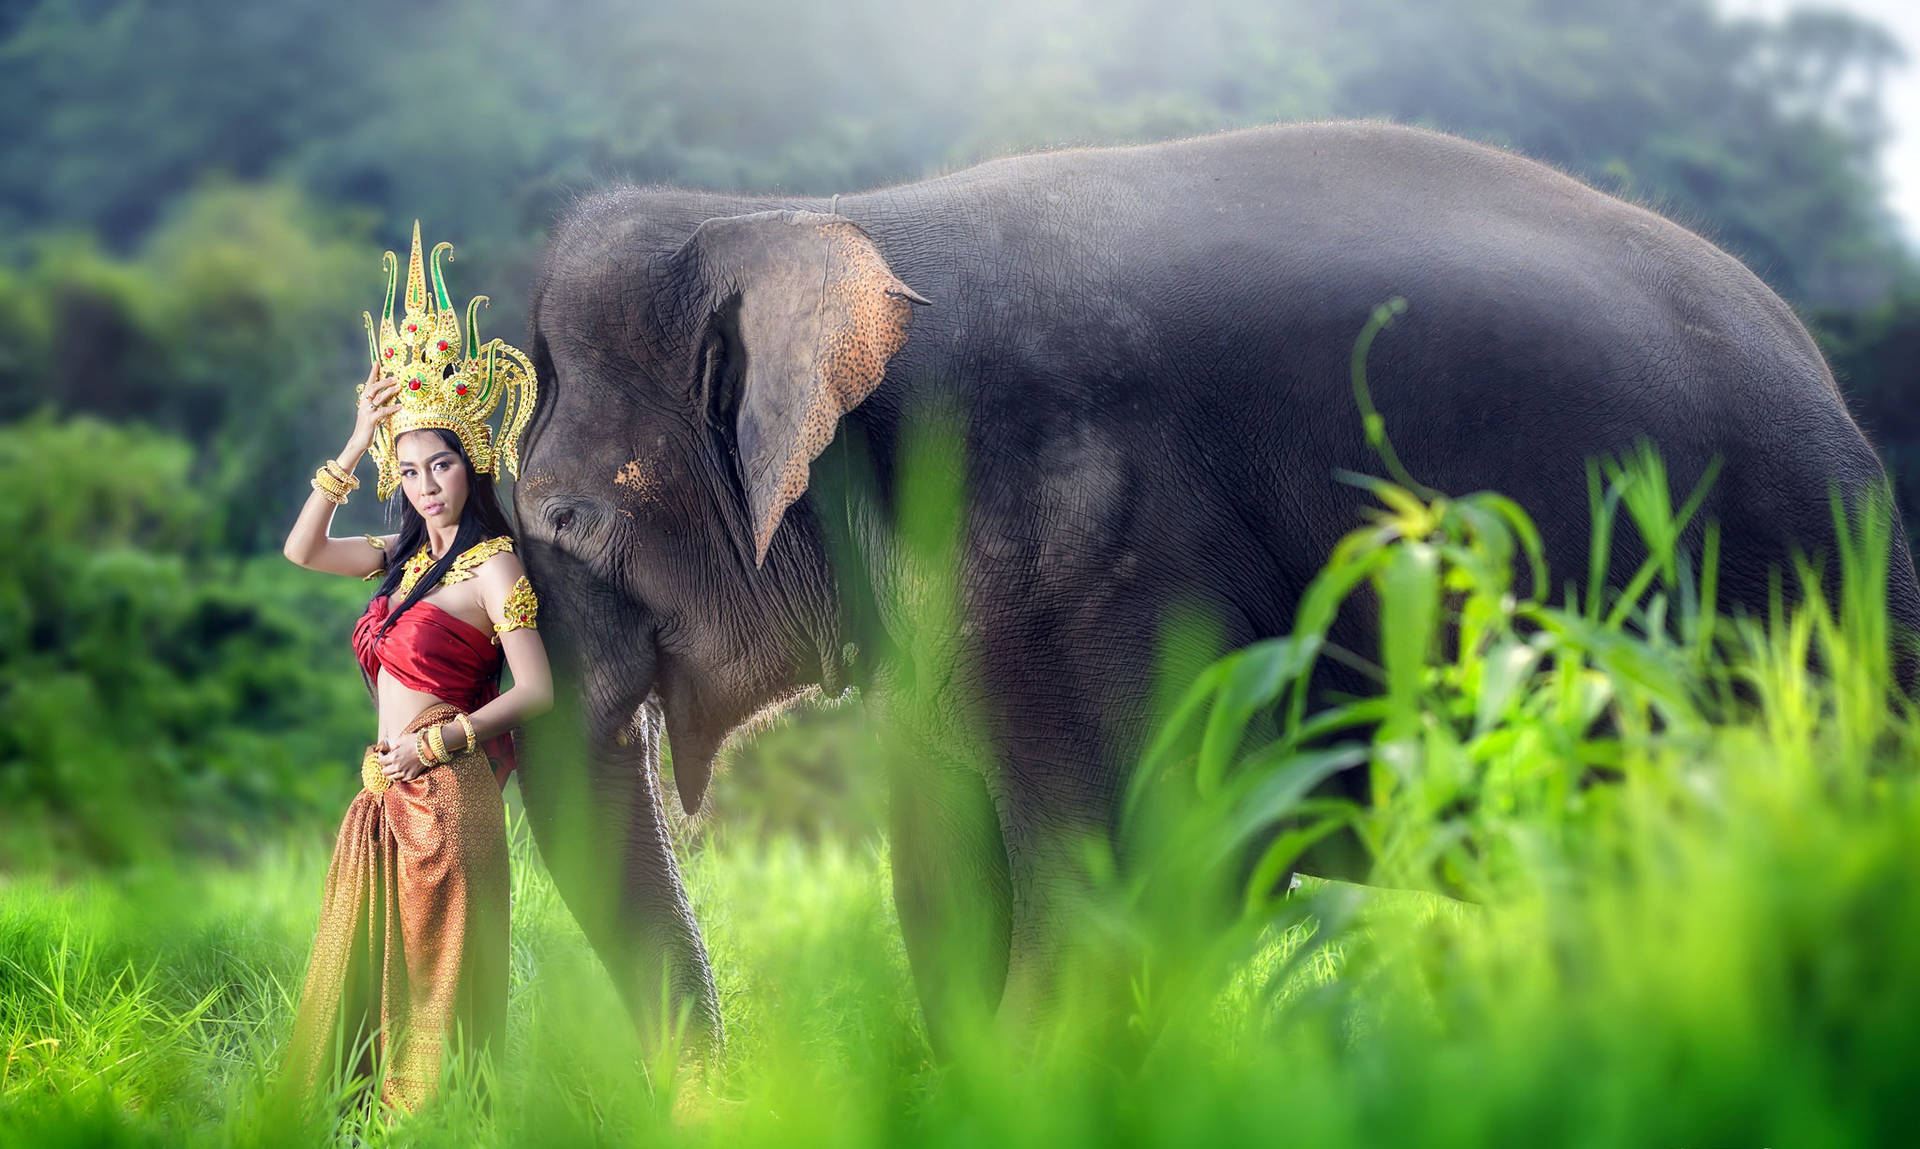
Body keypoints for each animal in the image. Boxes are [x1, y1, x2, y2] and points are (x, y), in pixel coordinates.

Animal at [510, 119, 1920, 1052]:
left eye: (565, 519)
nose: (708, 1086)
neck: (819, 212)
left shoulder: (1086, 533)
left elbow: (1144, 877)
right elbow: (945, 880)